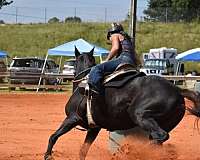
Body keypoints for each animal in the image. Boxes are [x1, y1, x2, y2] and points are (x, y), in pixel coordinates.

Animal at [44, 47, 200, 160]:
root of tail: (177, 90)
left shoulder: (72, 118)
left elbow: (53, 136)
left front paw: (47, 156)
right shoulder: (94, 128)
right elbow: (83, 150)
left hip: (139, 115)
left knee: (161, 136)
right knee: (159, 139)